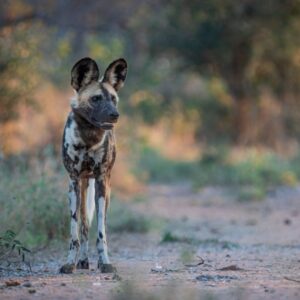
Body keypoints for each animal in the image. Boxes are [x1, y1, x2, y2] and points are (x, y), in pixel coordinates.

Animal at [60, 57, 127, 274]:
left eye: (113, 99)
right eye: (96, 99)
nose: (115, 114)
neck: (89, 136)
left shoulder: (101, 181)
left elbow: (101, 233)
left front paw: (105, 262)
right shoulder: (74, 180)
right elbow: (75, 231)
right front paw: (69, 263)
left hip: (104, 191)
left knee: (96, 223)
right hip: (80, 186)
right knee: (83, 225)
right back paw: (82, 260)